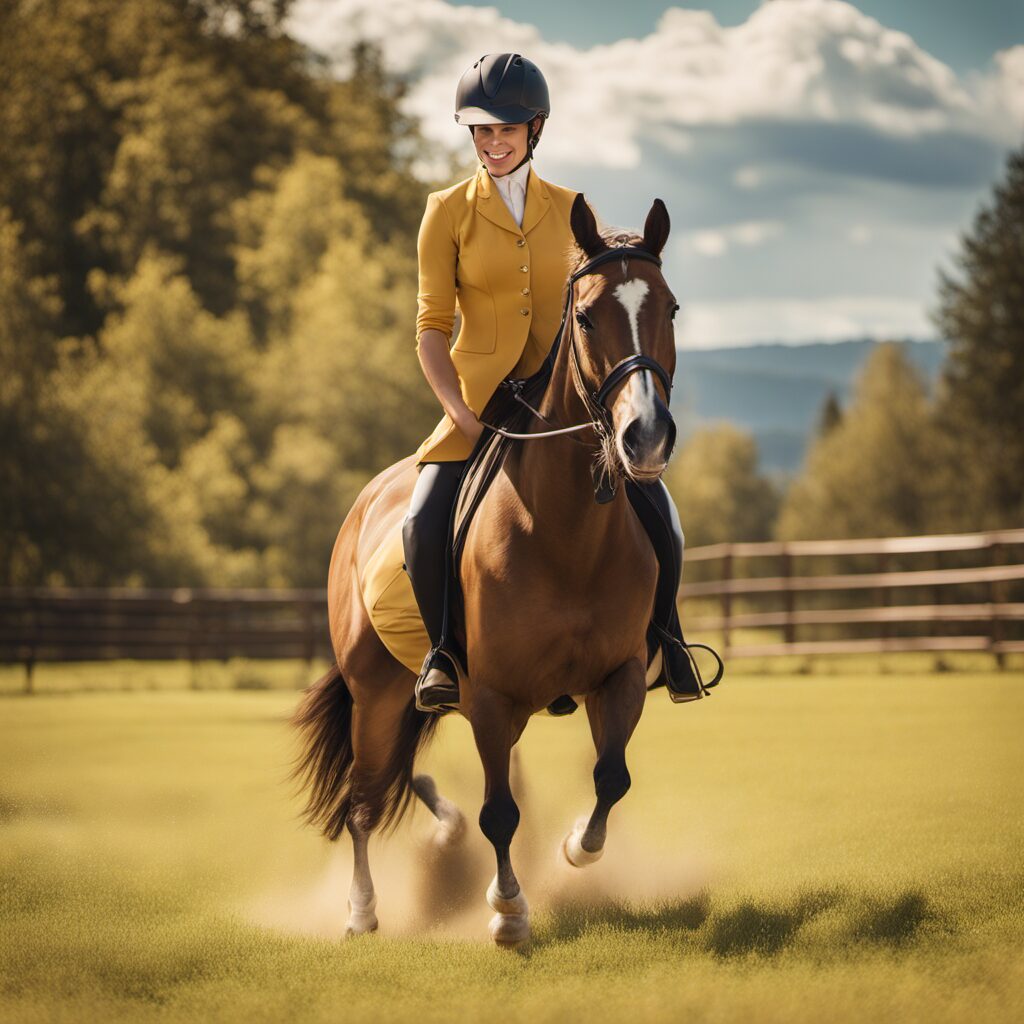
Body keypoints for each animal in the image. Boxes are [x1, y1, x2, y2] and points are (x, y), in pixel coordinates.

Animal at [293, 192, 680, 948]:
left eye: (671, 308)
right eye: (586, 316)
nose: (645, 437)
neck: (566, 529)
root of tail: (366, 500)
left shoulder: (618, 676)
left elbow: (610, 777)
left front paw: (573, 849)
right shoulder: (491, 696)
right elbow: (499, 810)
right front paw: (507, 912)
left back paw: (442, 832)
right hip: (376, 690)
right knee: (364, 799)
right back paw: (363, 911)